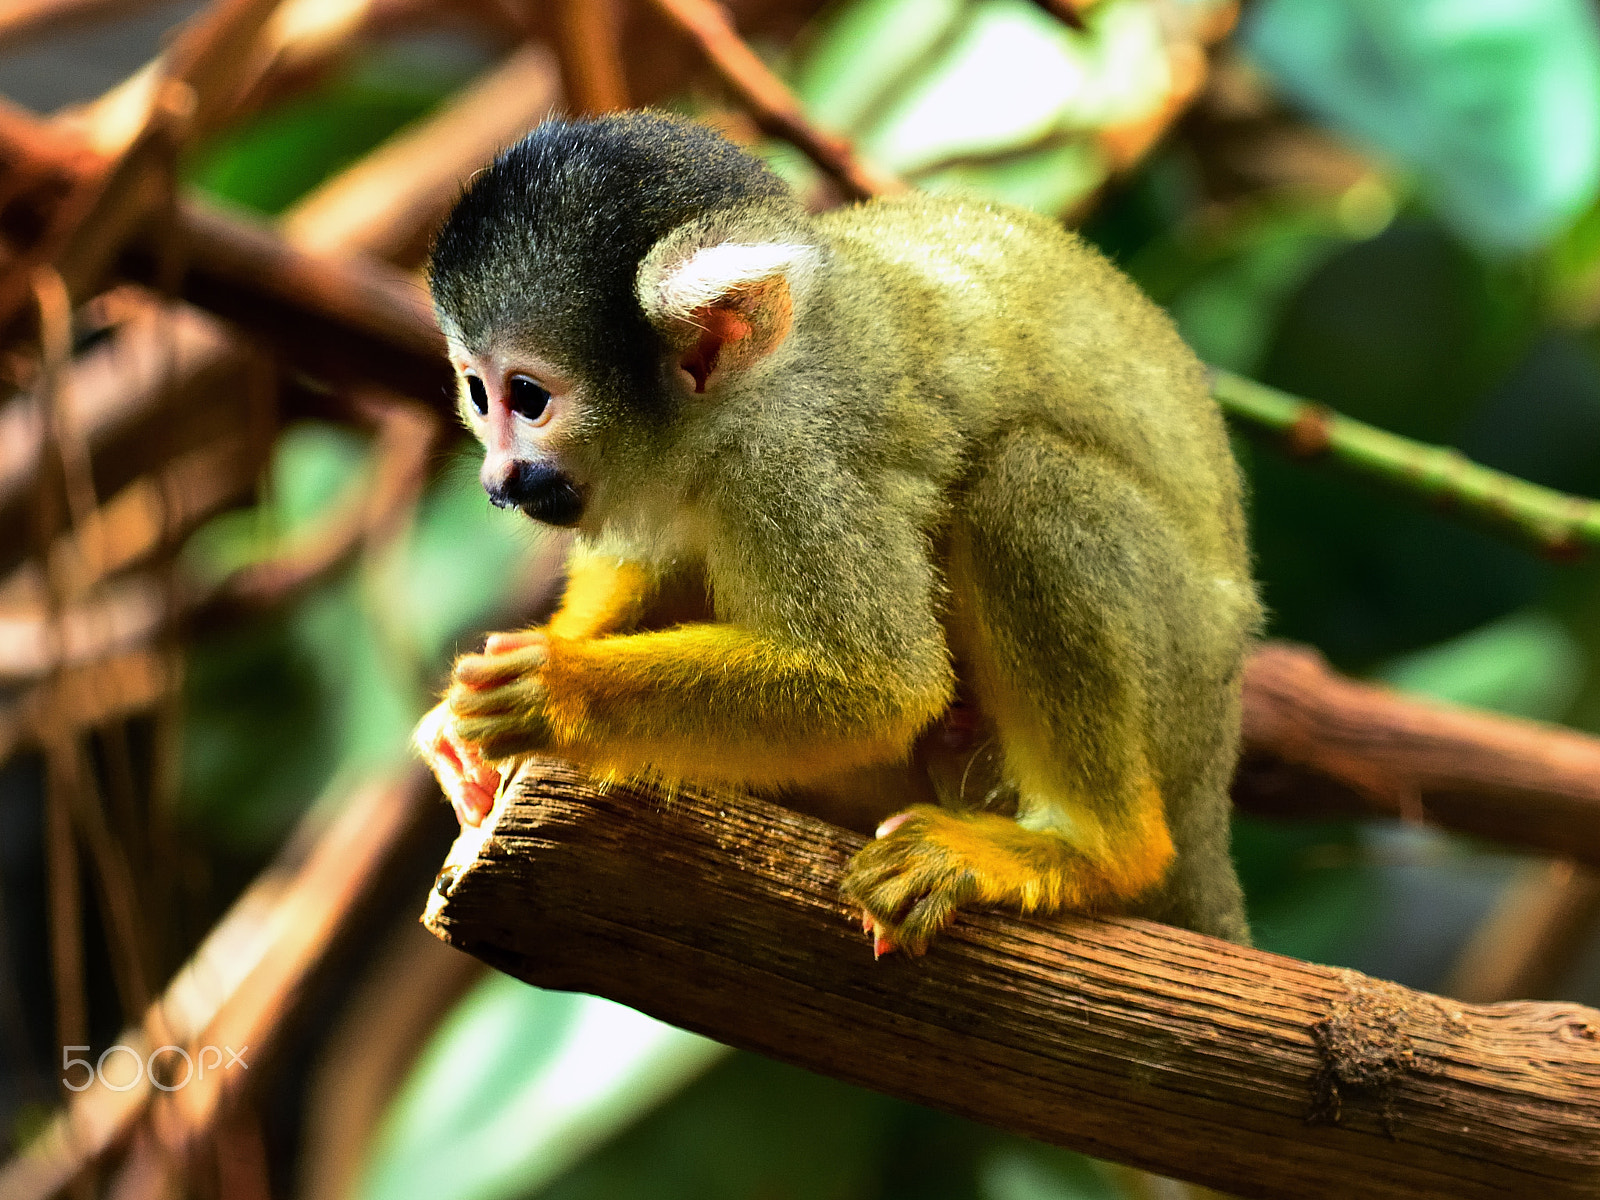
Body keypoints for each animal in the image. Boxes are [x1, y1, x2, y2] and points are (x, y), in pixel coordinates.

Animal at [413, 111, 1260, 955]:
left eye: (528, 397)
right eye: (477, 393)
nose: (499, 481)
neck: (738, 400)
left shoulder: (792, 457)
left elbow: (881, 680)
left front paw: (556, 687)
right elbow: (651, 567)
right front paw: (459, 721)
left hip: (1183, 675)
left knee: (1026, 480)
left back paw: (1089, 848)